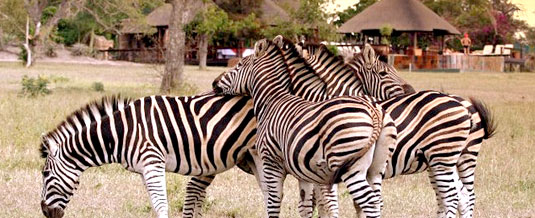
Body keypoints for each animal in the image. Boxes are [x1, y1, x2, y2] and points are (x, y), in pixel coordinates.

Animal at [37, 94, 260, 218]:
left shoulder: (152, 162)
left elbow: (161, 206)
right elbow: (155, 205)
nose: (46, 212)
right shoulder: (144, 169)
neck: (122, 133)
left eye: (45, 174)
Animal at [214, 39, 398, 218]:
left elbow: (274, 202)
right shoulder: (304, 171)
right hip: (376, 169)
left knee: (369, 202)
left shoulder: (271, 161)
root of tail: (374, 111)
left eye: (238, 65)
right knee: (376, 201)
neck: (272, 101)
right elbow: (306, 205)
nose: (214, 83)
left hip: (351, 168)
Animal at [298, 41, 494, 217]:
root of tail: (465, 105)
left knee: (465, 196)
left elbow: (325, 205)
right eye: (383, 73)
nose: (411, 89)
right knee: (455, 197)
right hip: (442, 162)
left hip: (463, 158)